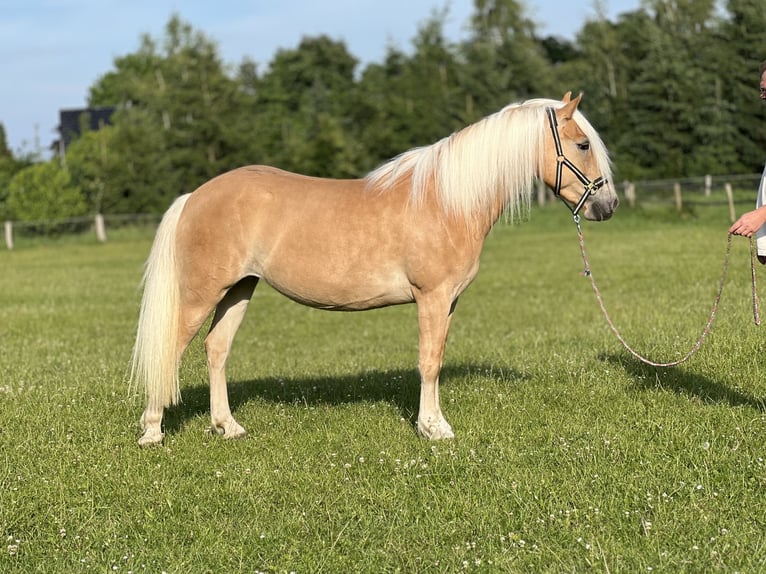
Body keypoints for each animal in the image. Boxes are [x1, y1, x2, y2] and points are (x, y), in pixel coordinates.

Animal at [130, 92, 618, 446]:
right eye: (582, 144)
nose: (607, 206)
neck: (446, 200)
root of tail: (193, 196)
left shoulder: (448, 302)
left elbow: (436, 359)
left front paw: (432, 422)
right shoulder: (432, 297)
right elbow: (428, 361)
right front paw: (434, 429)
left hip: (239, 289)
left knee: (216, 350)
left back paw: (227, 426)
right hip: (201, 294)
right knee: (171, 351)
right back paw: (153, 431)